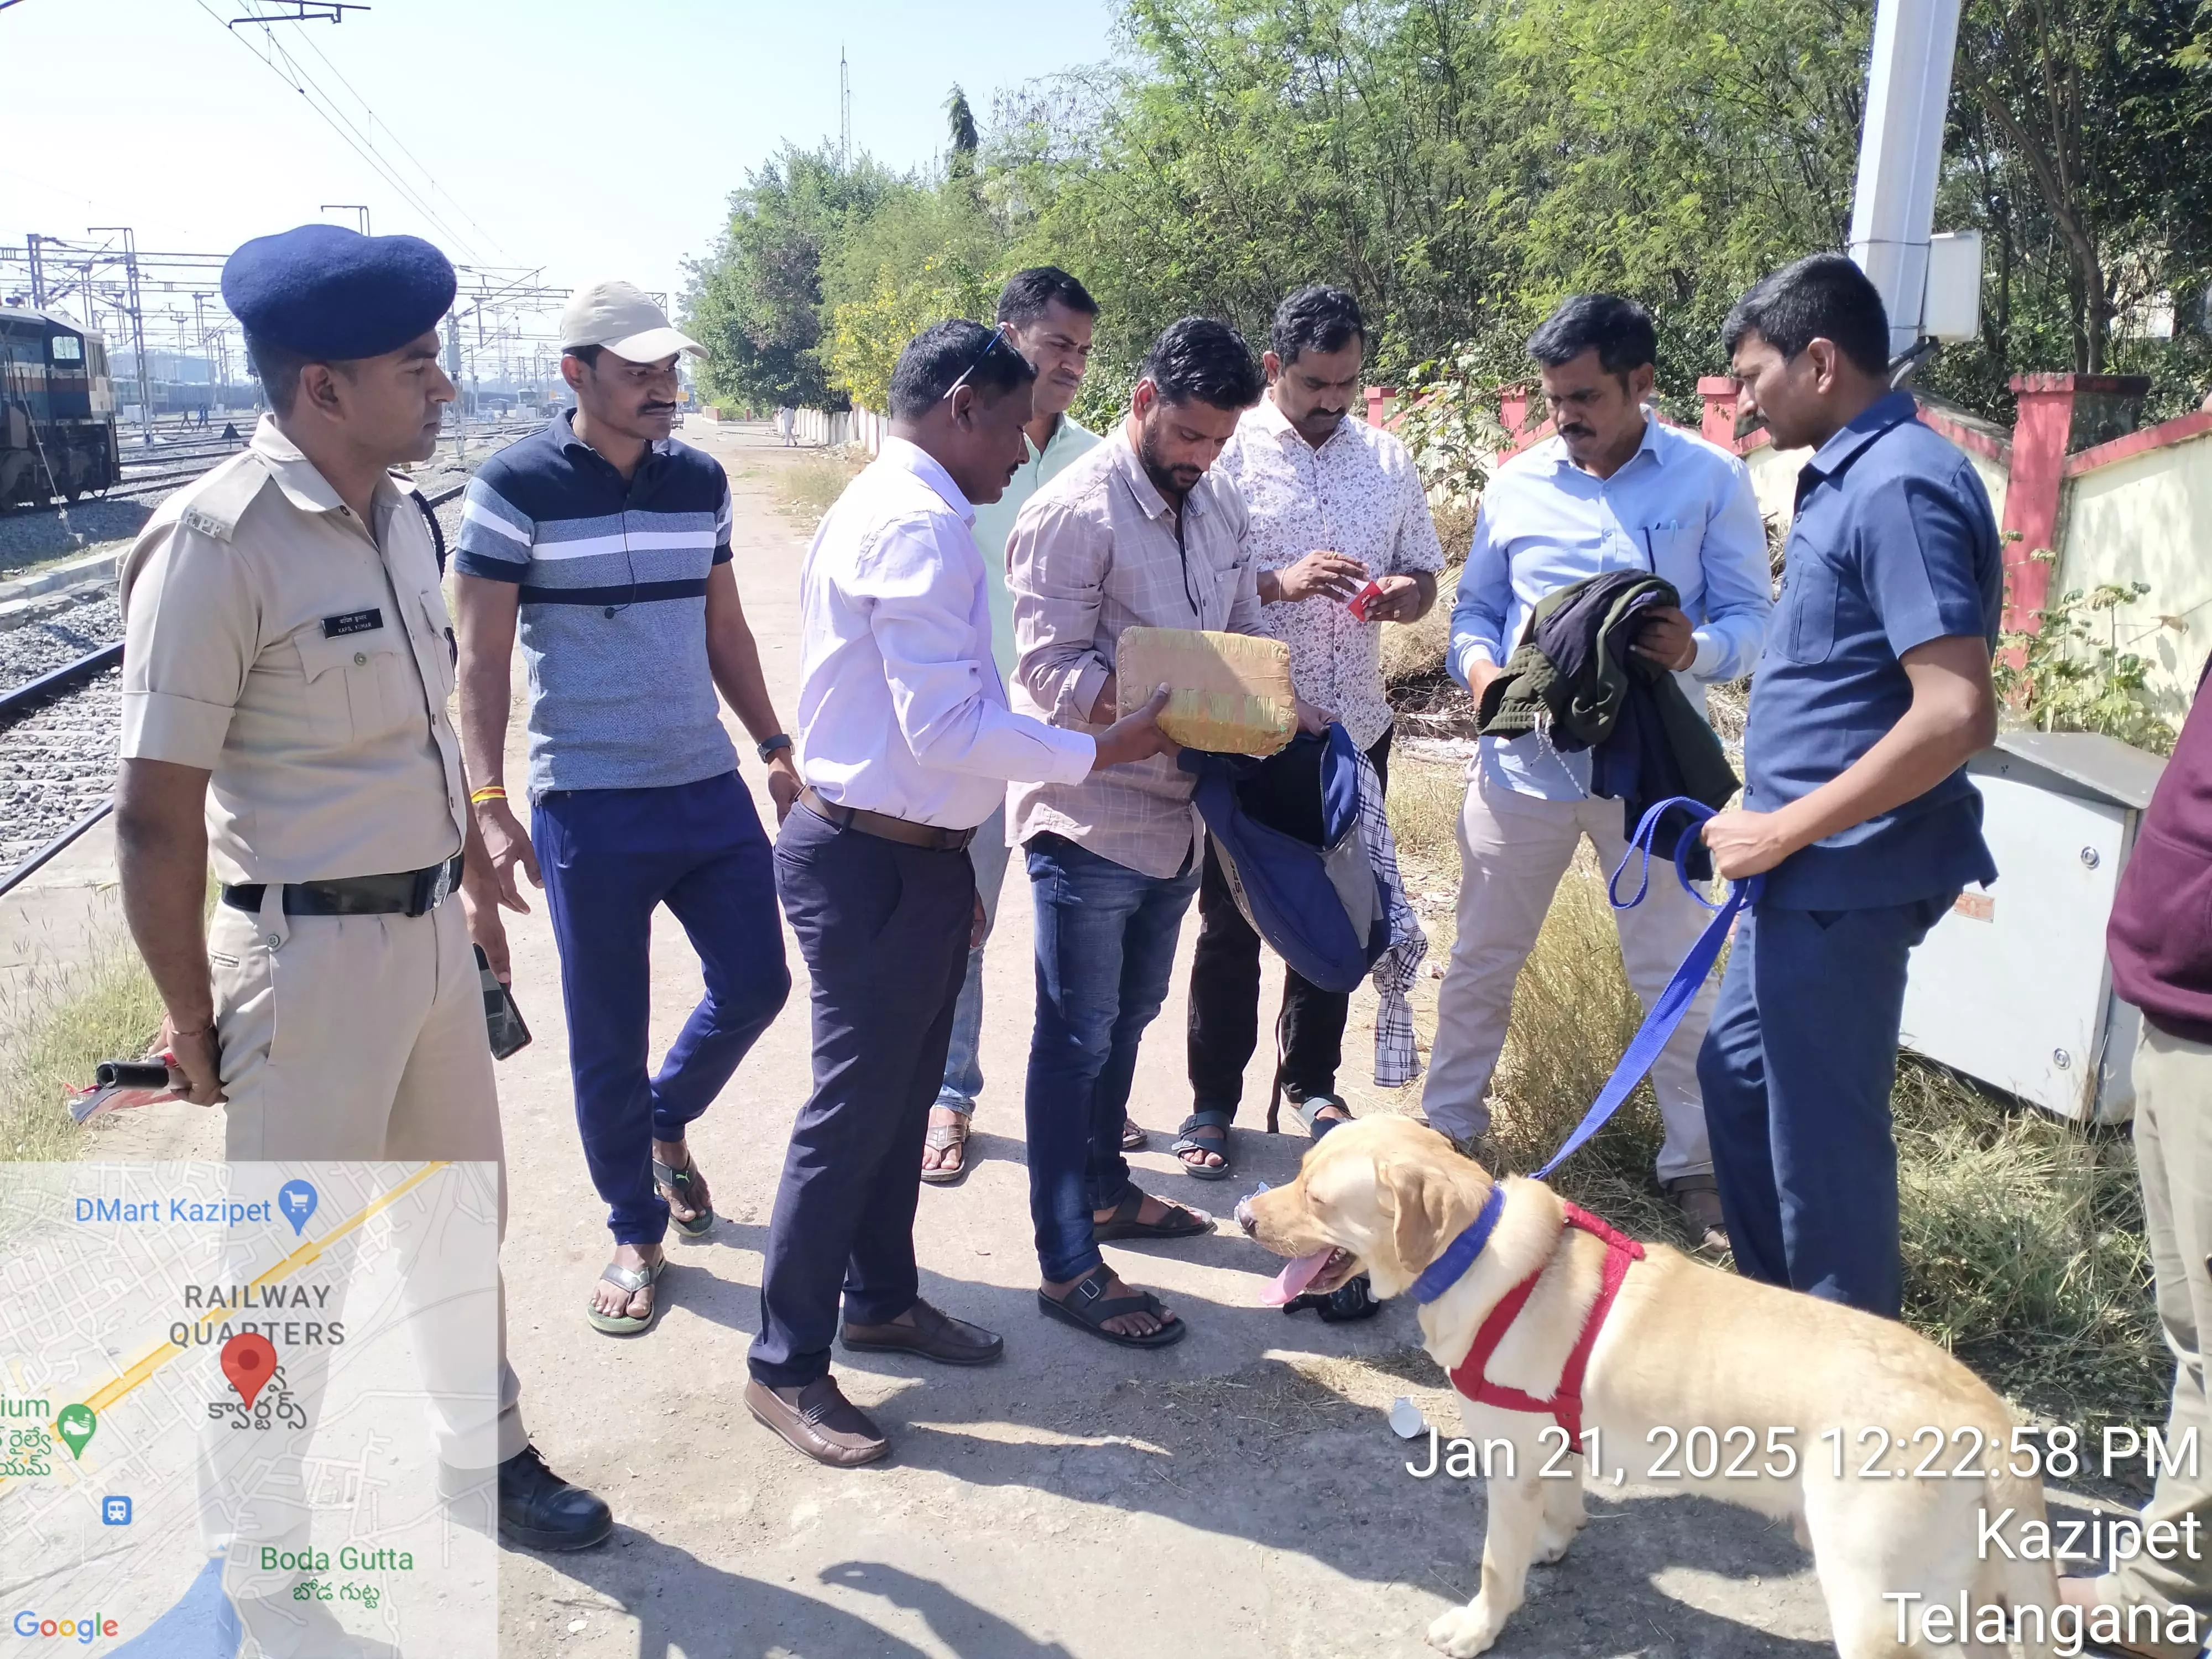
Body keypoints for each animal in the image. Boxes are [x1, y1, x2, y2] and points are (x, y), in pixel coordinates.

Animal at [1248, 1119, 2053, 1659]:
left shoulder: (1510, 1462)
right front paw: (1553, 1542)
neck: (1473, 1254)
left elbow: (1495, 1564)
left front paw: (1479, 1625)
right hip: (1960, 1598)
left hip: (1875, 1605)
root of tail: (1992, 1422)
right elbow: (1561, 1509)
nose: (1245, 1216)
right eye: (1300, 1170)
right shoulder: (1554, 1443)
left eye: (1318, 1198)